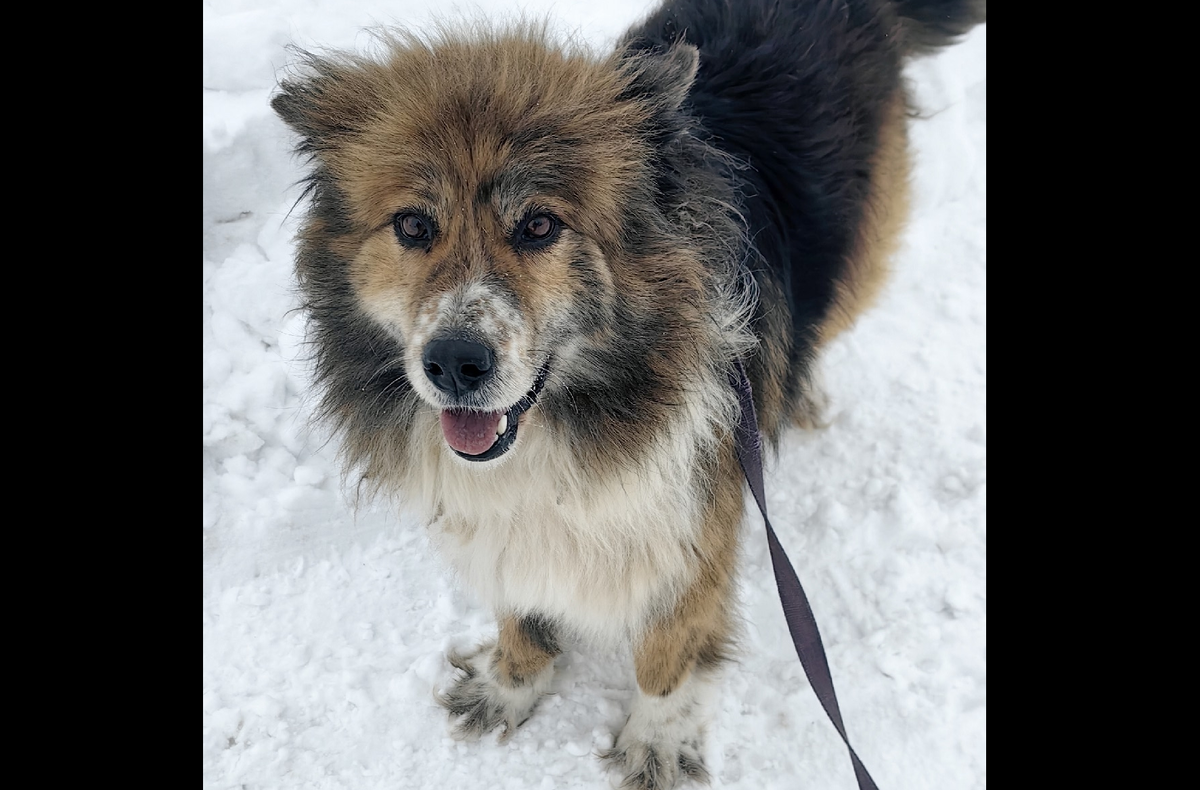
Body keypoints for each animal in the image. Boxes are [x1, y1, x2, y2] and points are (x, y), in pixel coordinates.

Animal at [272, 1, 984, 786]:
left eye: (539, 225)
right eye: (412, 225)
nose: (454, 363)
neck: (567, 427)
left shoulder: (696, 519)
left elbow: (668, 650)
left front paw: (658, 739)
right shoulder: (506, 523)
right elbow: (519, 607)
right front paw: (510, 684)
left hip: (863, 244)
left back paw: (807, 391)